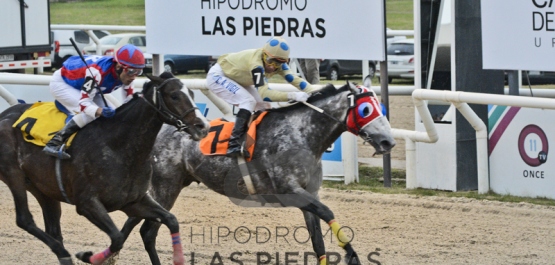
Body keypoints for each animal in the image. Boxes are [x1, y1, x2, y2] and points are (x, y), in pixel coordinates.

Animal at [0, 72, 211, 264]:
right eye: (174, 95)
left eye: (192, 93)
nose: (203, 126)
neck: (119, 147)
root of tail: (4, 114)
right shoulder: (87, 204)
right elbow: (117, 238)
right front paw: (87, 256)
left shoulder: (133, 201)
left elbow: (171, 220)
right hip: (13, 175)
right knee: (24, 219)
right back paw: (63, 252)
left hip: (43, 188)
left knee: (53, 229)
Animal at [120, 81, 398, 262]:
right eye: (366, 109)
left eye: (380, 107)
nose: (388, 142)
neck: (302, 135)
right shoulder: (289, 190)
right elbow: (328, 212)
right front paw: (351, 254)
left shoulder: (309, 194)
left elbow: (318, 241)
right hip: (166, 185)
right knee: (148, 231)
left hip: (167, 186)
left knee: (135, 221)